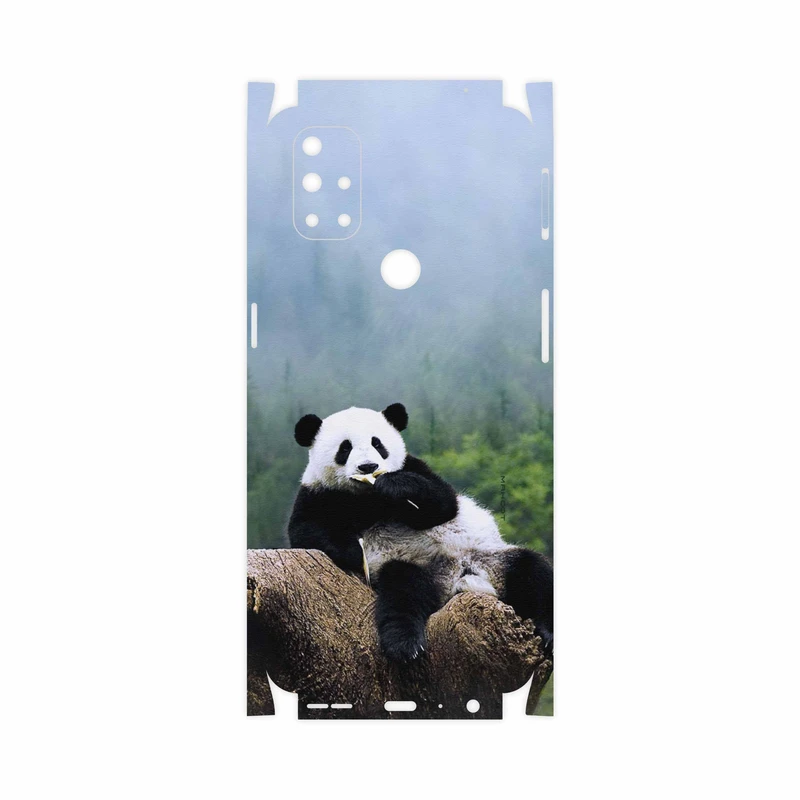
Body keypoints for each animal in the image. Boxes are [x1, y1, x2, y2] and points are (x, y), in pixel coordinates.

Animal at [288, 403, 553, 662]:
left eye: (377, 444)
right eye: (345, 448)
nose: (368, 466)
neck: (367, 497)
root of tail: (458, 578)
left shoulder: (415, 467)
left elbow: (443, 503)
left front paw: (394, 486)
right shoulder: (318, 493)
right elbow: (305, 531)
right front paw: (355, 552)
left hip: (491, 558)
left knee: (534, 571)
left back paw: (547, 633)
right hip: (417, 569)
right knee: (403, 592)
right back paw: (405, 645)